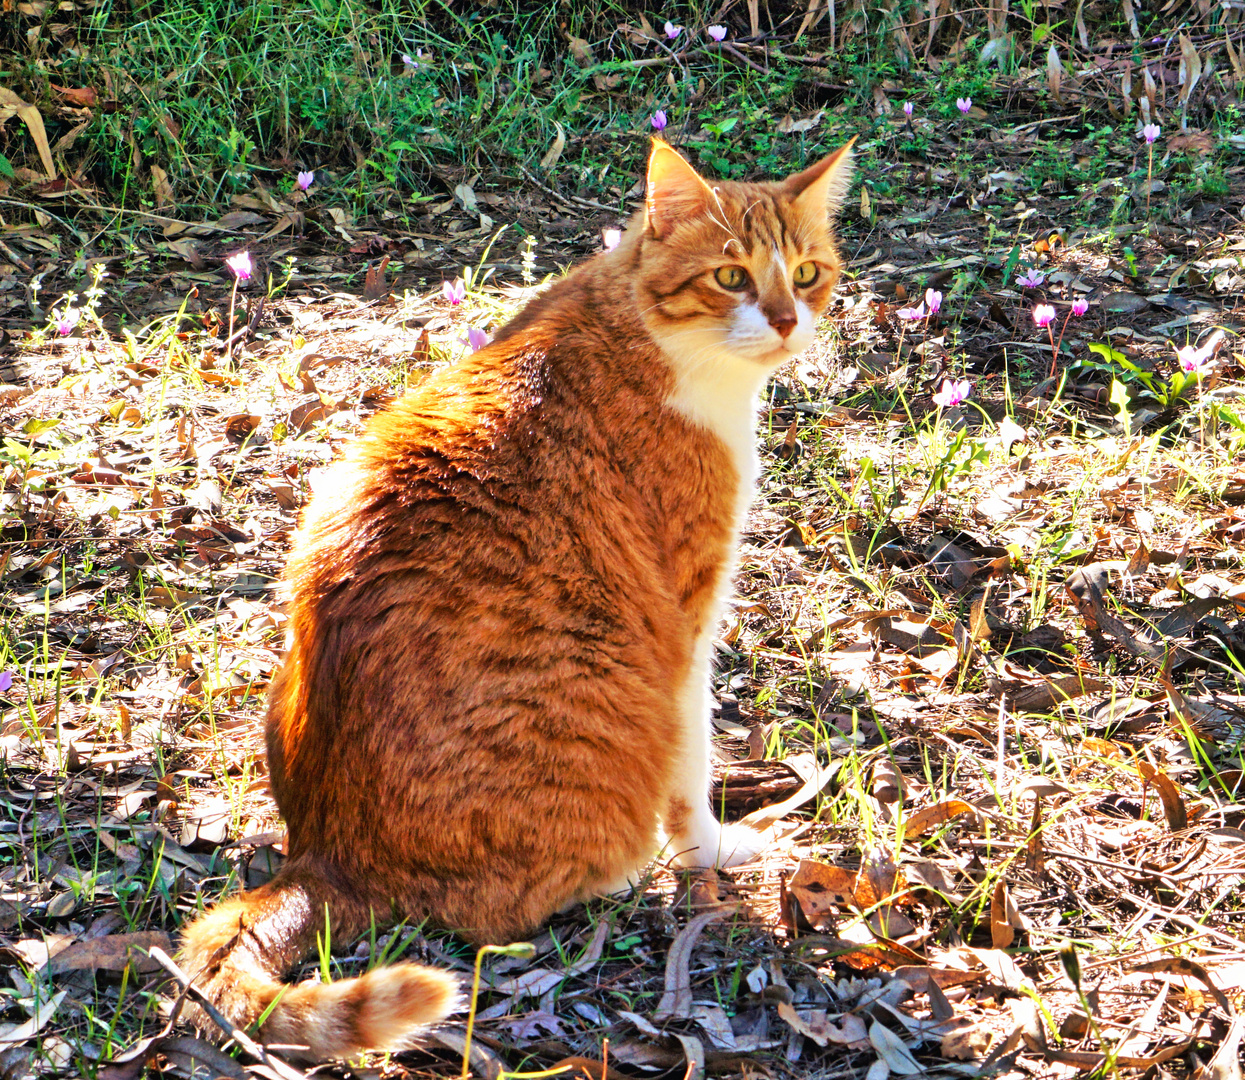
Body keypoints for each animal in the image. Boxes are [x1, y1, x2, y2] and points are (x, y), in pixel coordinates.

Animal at [178, 135, 856, 1056]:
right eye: (731, 277)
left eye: (807, 273)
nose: (787, 320)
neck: (653, 339)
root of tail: (322, 855)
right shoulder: (683, 624)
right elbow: (690, 769)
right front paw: (709, 850)